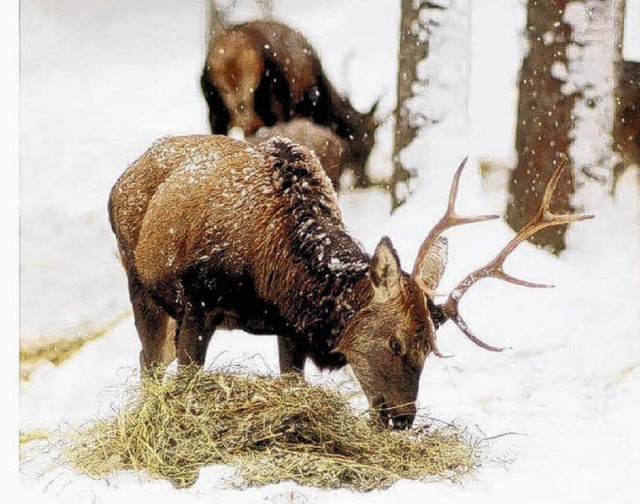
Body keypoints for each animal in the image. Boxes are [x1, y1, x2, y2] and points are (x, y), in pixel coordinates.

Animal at [109, 136, 592, 432]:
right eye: (396, 341)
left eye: (432, 346)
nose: (401, 418)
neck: (274, 276)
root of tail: (123, 176)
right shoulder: (200, 302)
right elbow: (187, 381)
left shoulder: (290, 328)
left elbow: (292, 384)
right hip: (138, 280)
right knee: (149, 360)